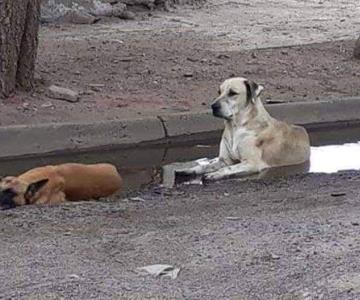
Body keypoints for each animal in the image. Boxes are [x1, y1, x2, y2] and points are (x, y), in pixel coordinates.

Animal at [176, 77, 310, 180]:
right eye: (219, 92)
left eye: (232, 93)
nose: (213, 106)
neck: (234, 128)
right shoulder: (224, 160)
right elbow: (206, 166)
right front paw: (189, 169)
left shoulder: (252, 163)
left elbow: (229, 168)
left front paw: (215, 174)